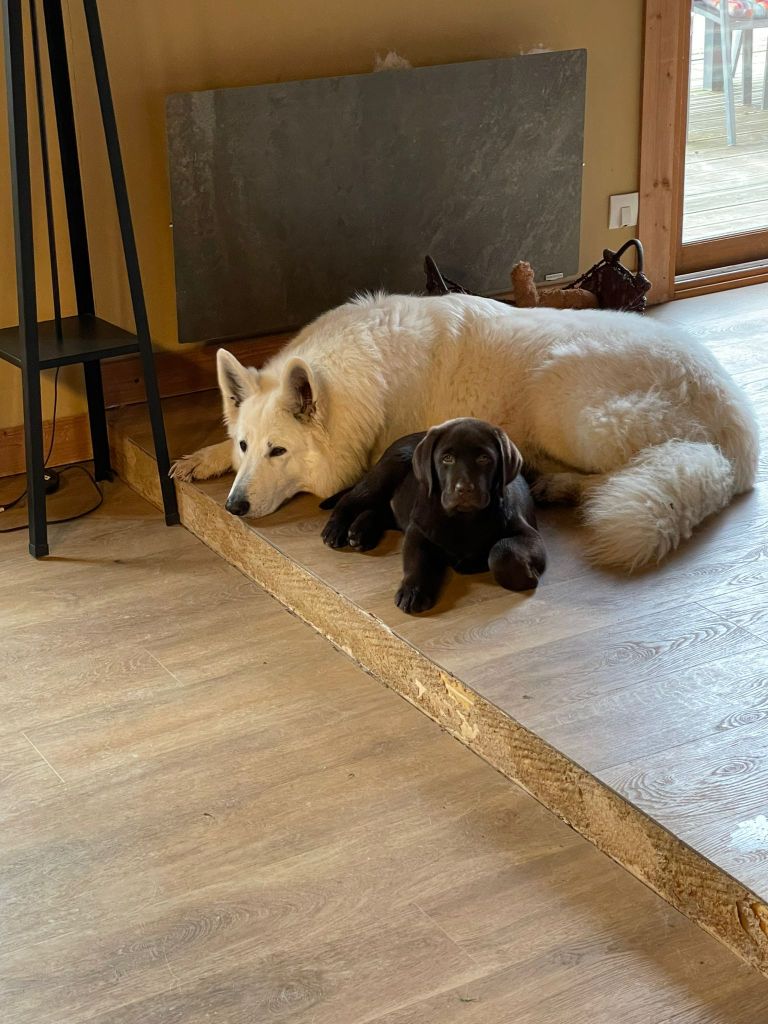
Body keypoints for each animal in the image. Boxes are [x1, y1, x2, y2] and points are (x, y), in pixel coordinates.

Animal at [173, 292, 757, 573]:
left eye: (279, 451)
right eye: (247, 446)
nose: (233, 508)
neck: (359, 377)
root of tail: (740, 437)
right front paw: (202, 458)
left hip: (564, 400)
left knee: (629, 468)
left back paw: (561, 485)